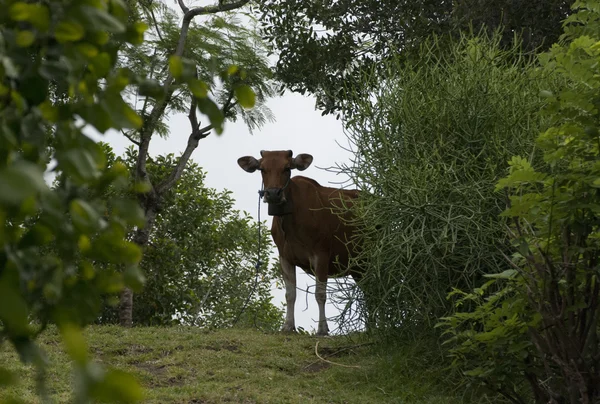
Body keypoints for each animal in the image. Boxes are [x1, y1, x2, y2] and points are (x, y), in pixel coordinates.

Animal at [236, 150, 358, 336]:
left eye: (287, 168)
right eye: (262, 168)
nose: (273, 193)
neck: (291, 223)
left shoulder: (322, 253)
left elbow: (320, 294)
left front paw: (322, 329)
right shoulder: (285, 257)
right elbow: (290, 294)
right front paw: (288, 326)